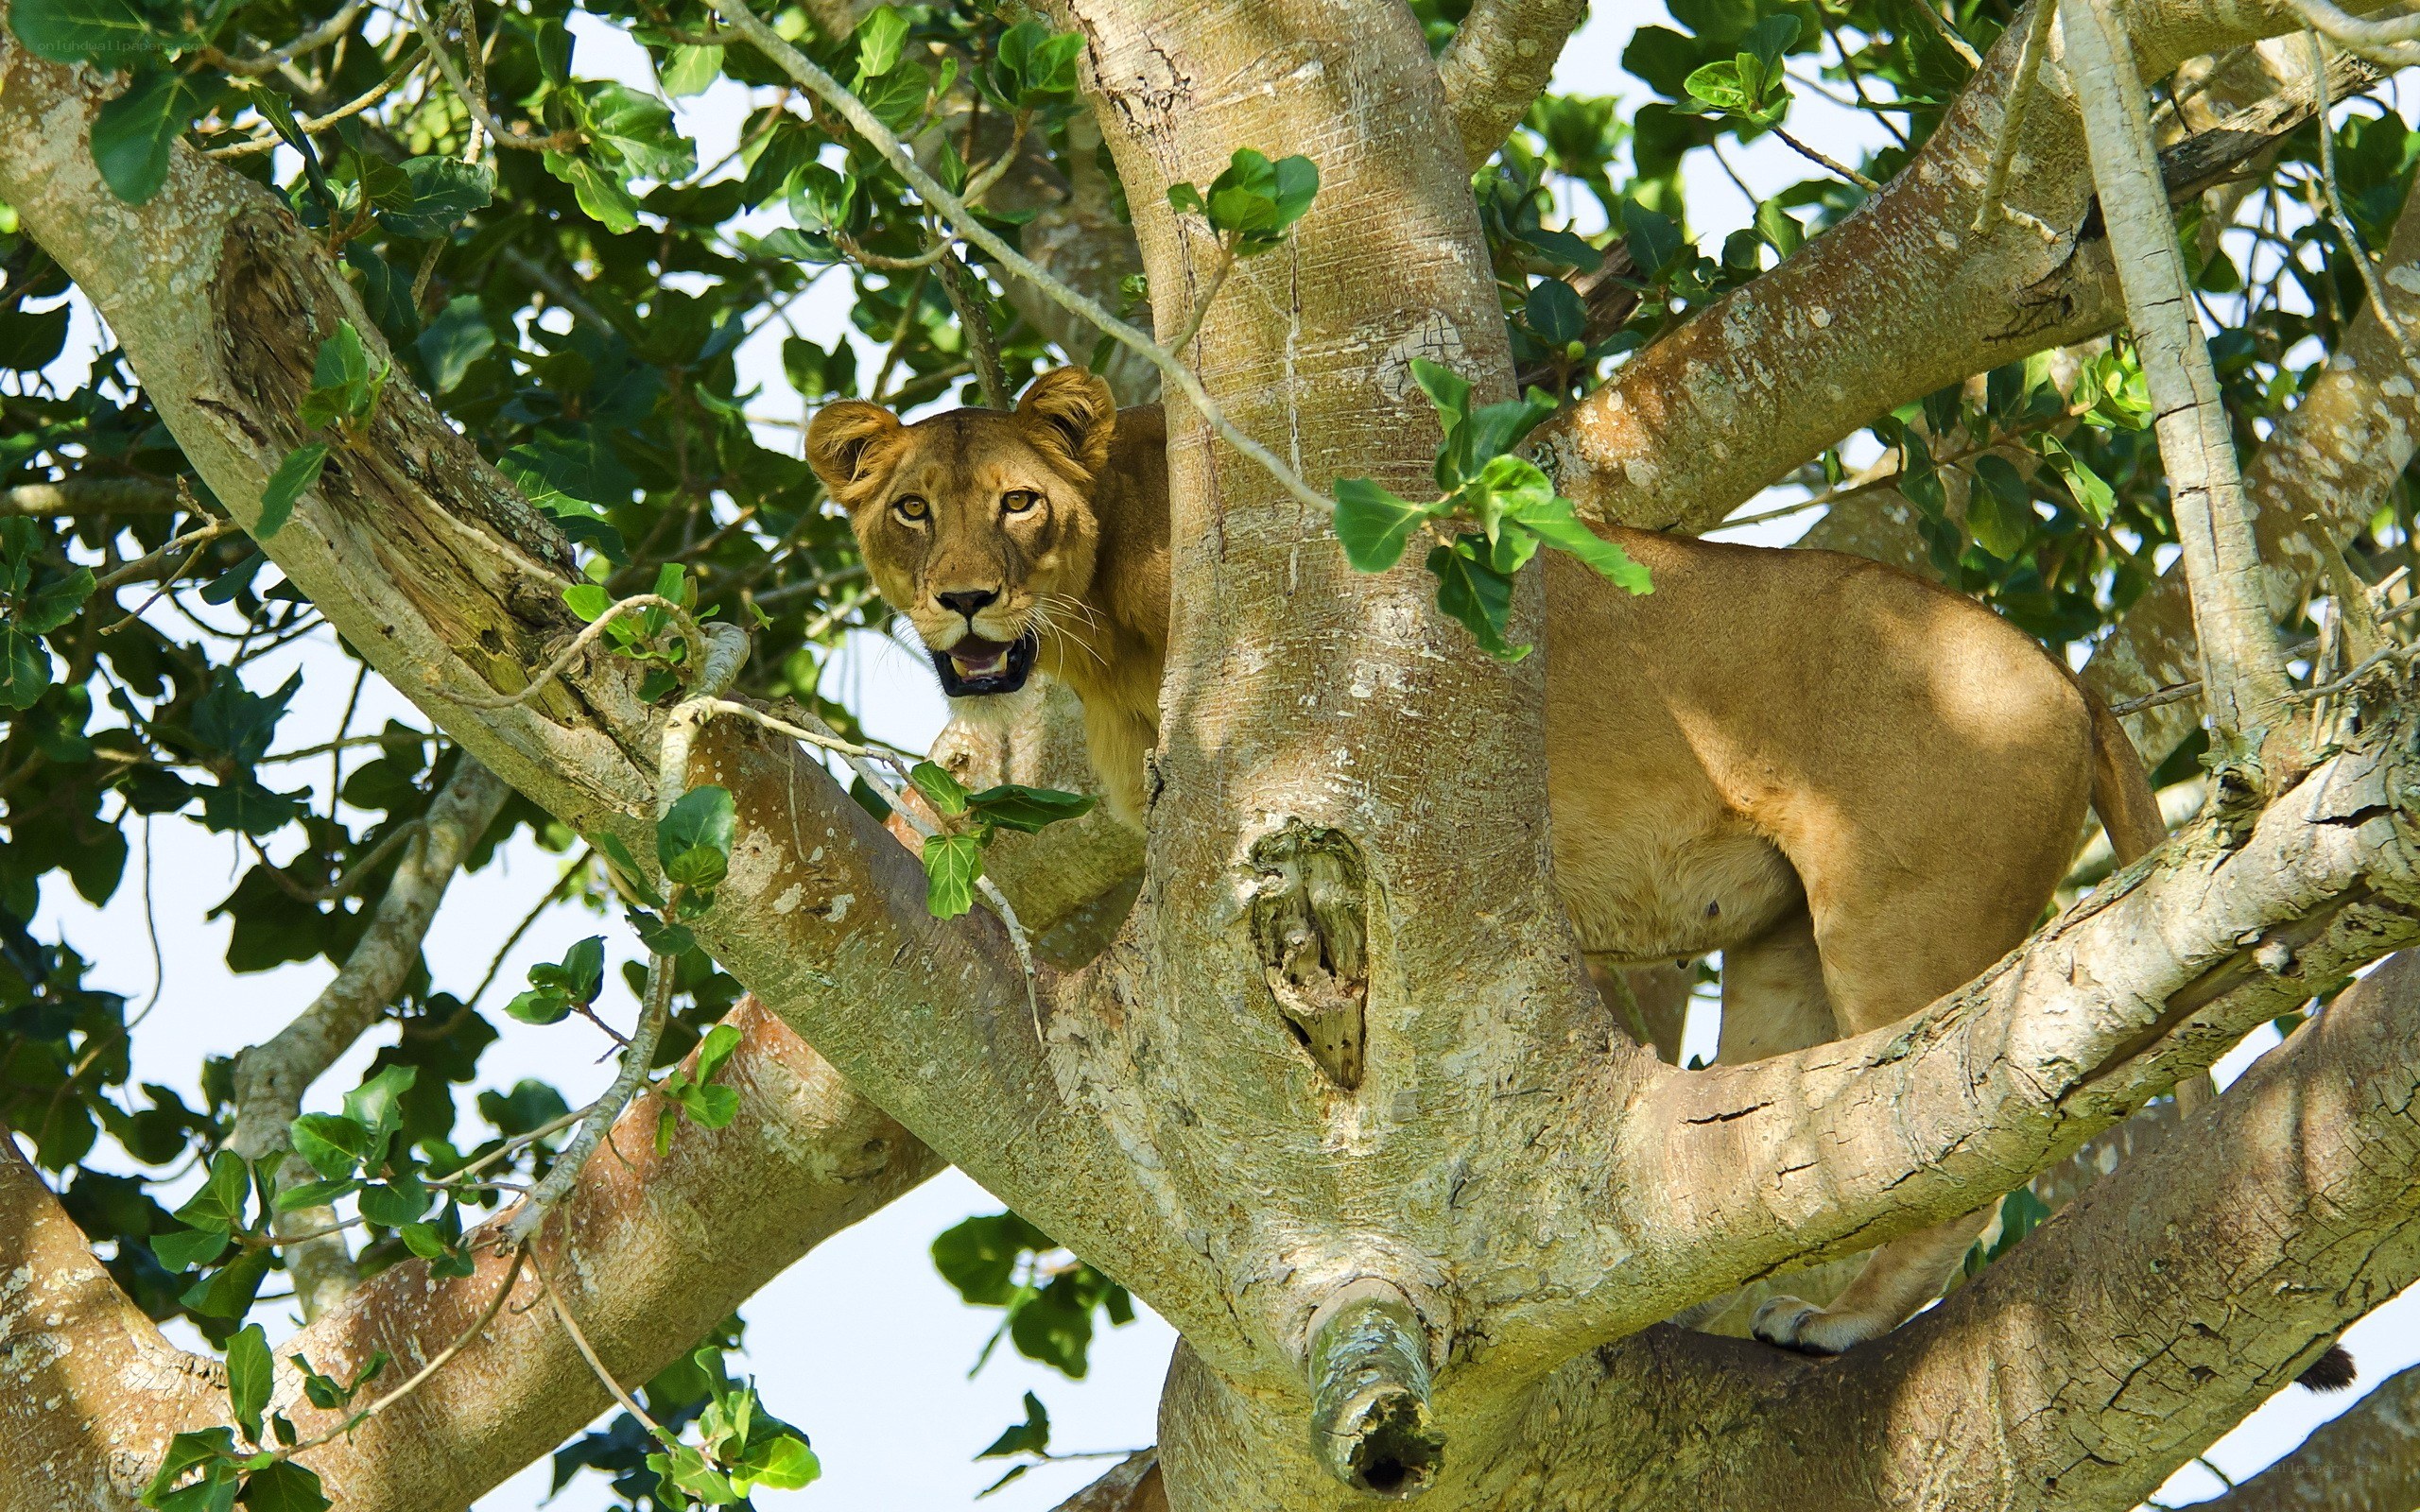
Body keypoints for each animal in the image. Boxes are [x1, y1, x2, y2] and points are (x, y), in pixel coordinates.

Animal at [806, 366, 2169, 1356]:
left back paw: (1838, 1321)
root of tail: (2066, 676)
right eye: (911, 511)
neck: (1097, 624)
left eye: (1019, 504)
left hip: (1902, 922)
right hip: (1786, 954)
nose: (965, 600)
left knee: (1950, 1137)